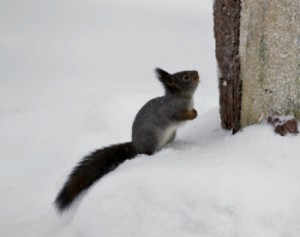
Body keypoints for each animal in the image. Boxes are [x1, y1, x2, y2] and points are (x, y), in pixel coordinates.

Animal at [54, 67, 199, 213]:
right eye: (186, 77)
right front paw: (192, 115)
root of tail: (136, 145)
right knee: (148, 152)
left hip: (171, 135)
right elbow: (179, 116)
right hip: (152, 137)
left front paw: (195, 111)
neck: (181, 97)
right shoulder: (171, 111)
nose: (197, 73)